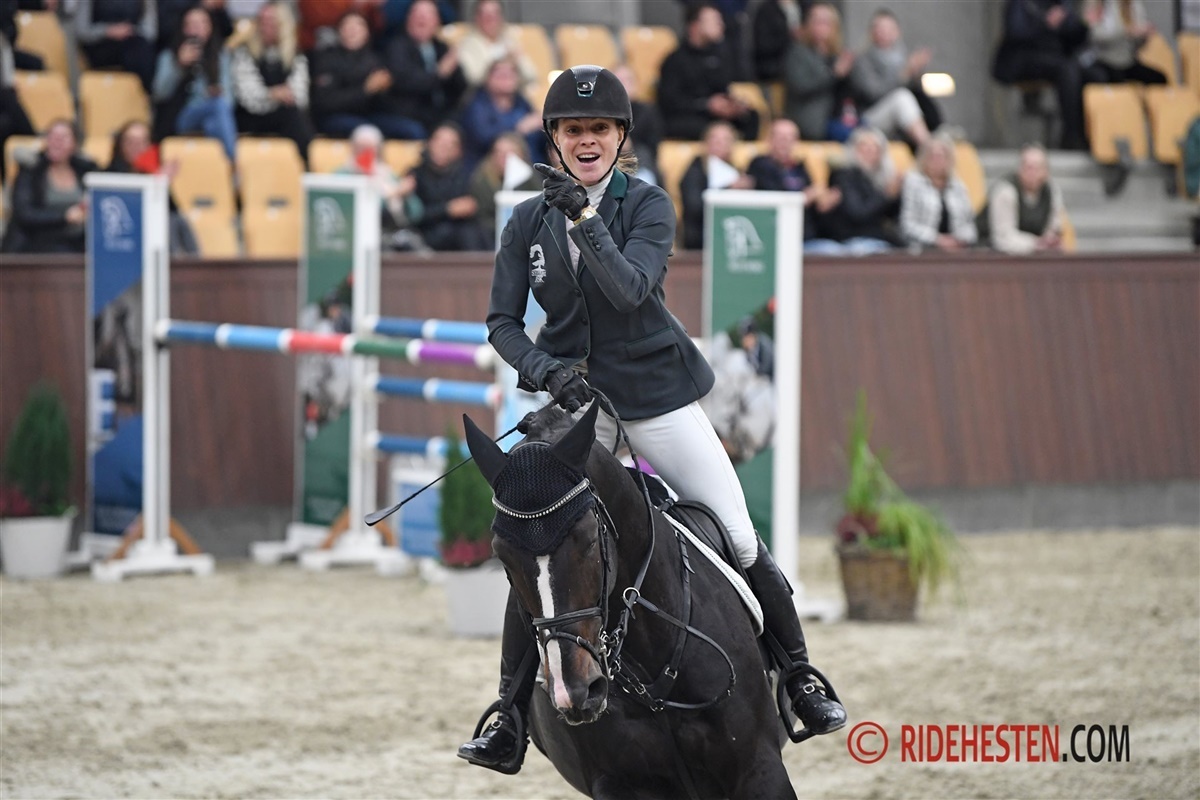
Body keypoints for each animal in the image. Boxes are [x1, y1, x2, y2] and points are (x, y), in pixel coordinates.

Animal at [462, 401, 802, 799]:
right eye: (502, 555)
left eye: (589, 538)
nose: (575, 692)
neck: (655, 678)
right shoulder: (618, 784)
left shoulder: (760, 770)